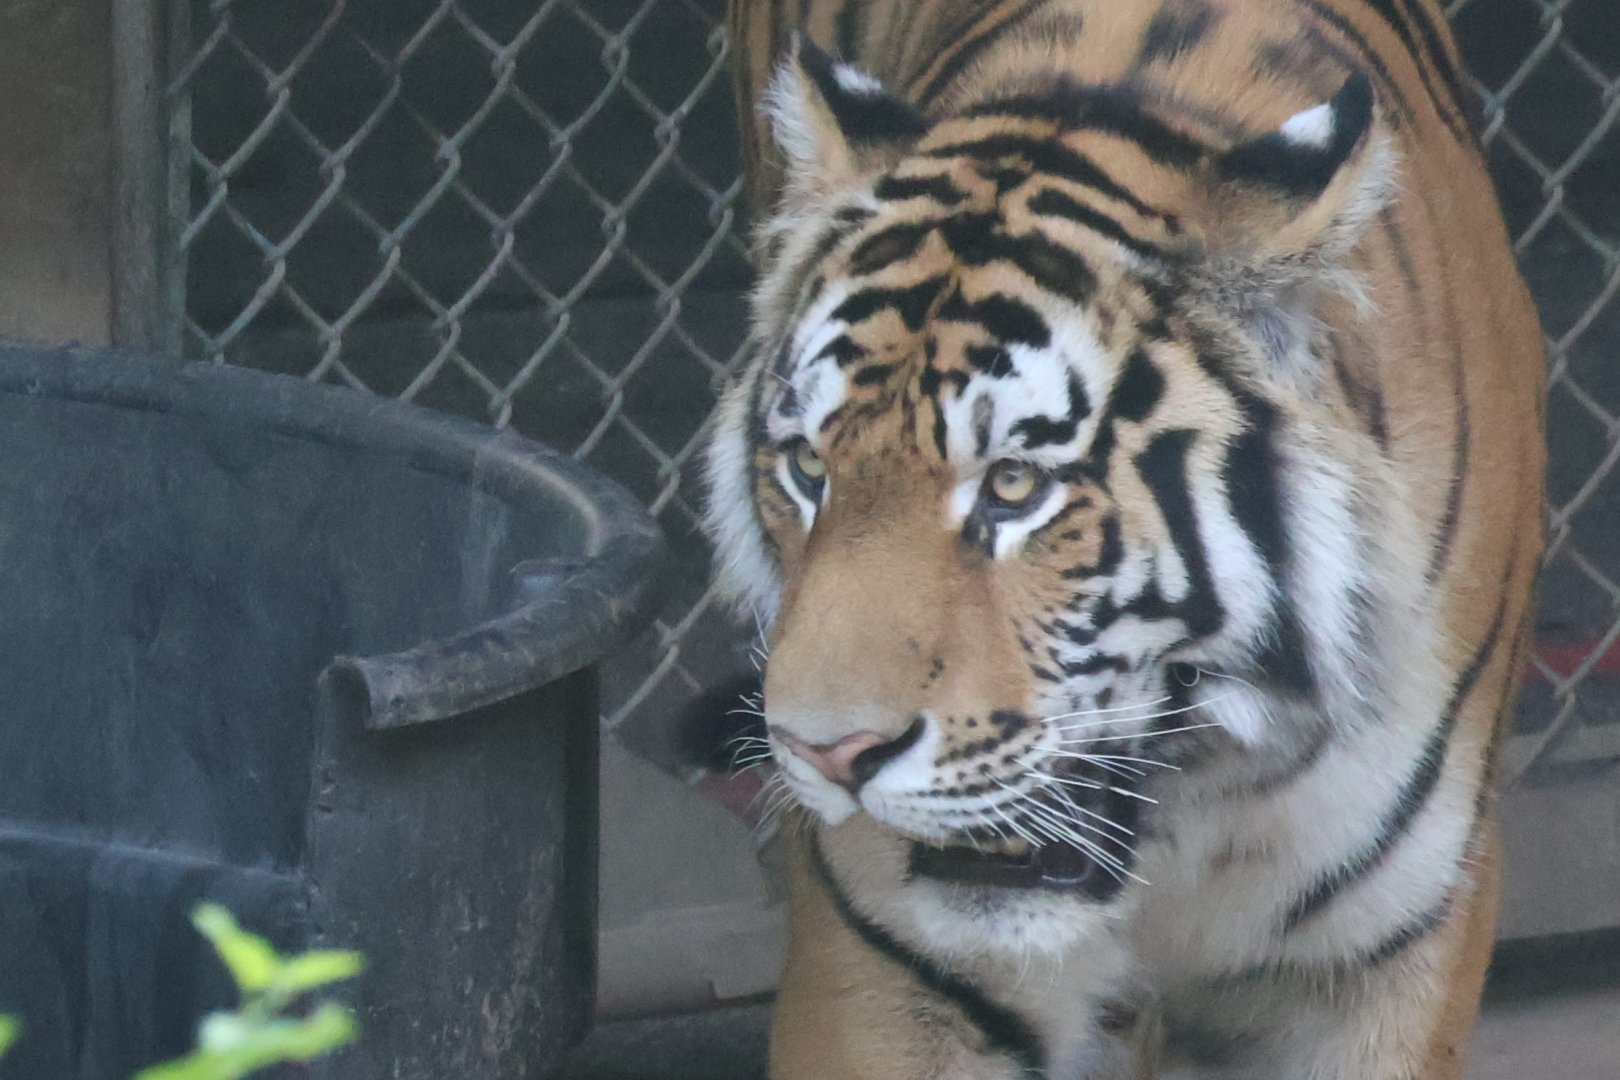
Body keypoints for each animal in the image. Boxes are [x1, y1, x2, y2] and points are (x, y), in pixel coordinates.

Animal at [701, 0, 1545, 1077]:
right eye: (810, 469)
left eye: (1014, 485)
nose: (826, 755)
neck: (1198, 797)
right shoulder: (885, 962)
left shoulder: (1386, 952)